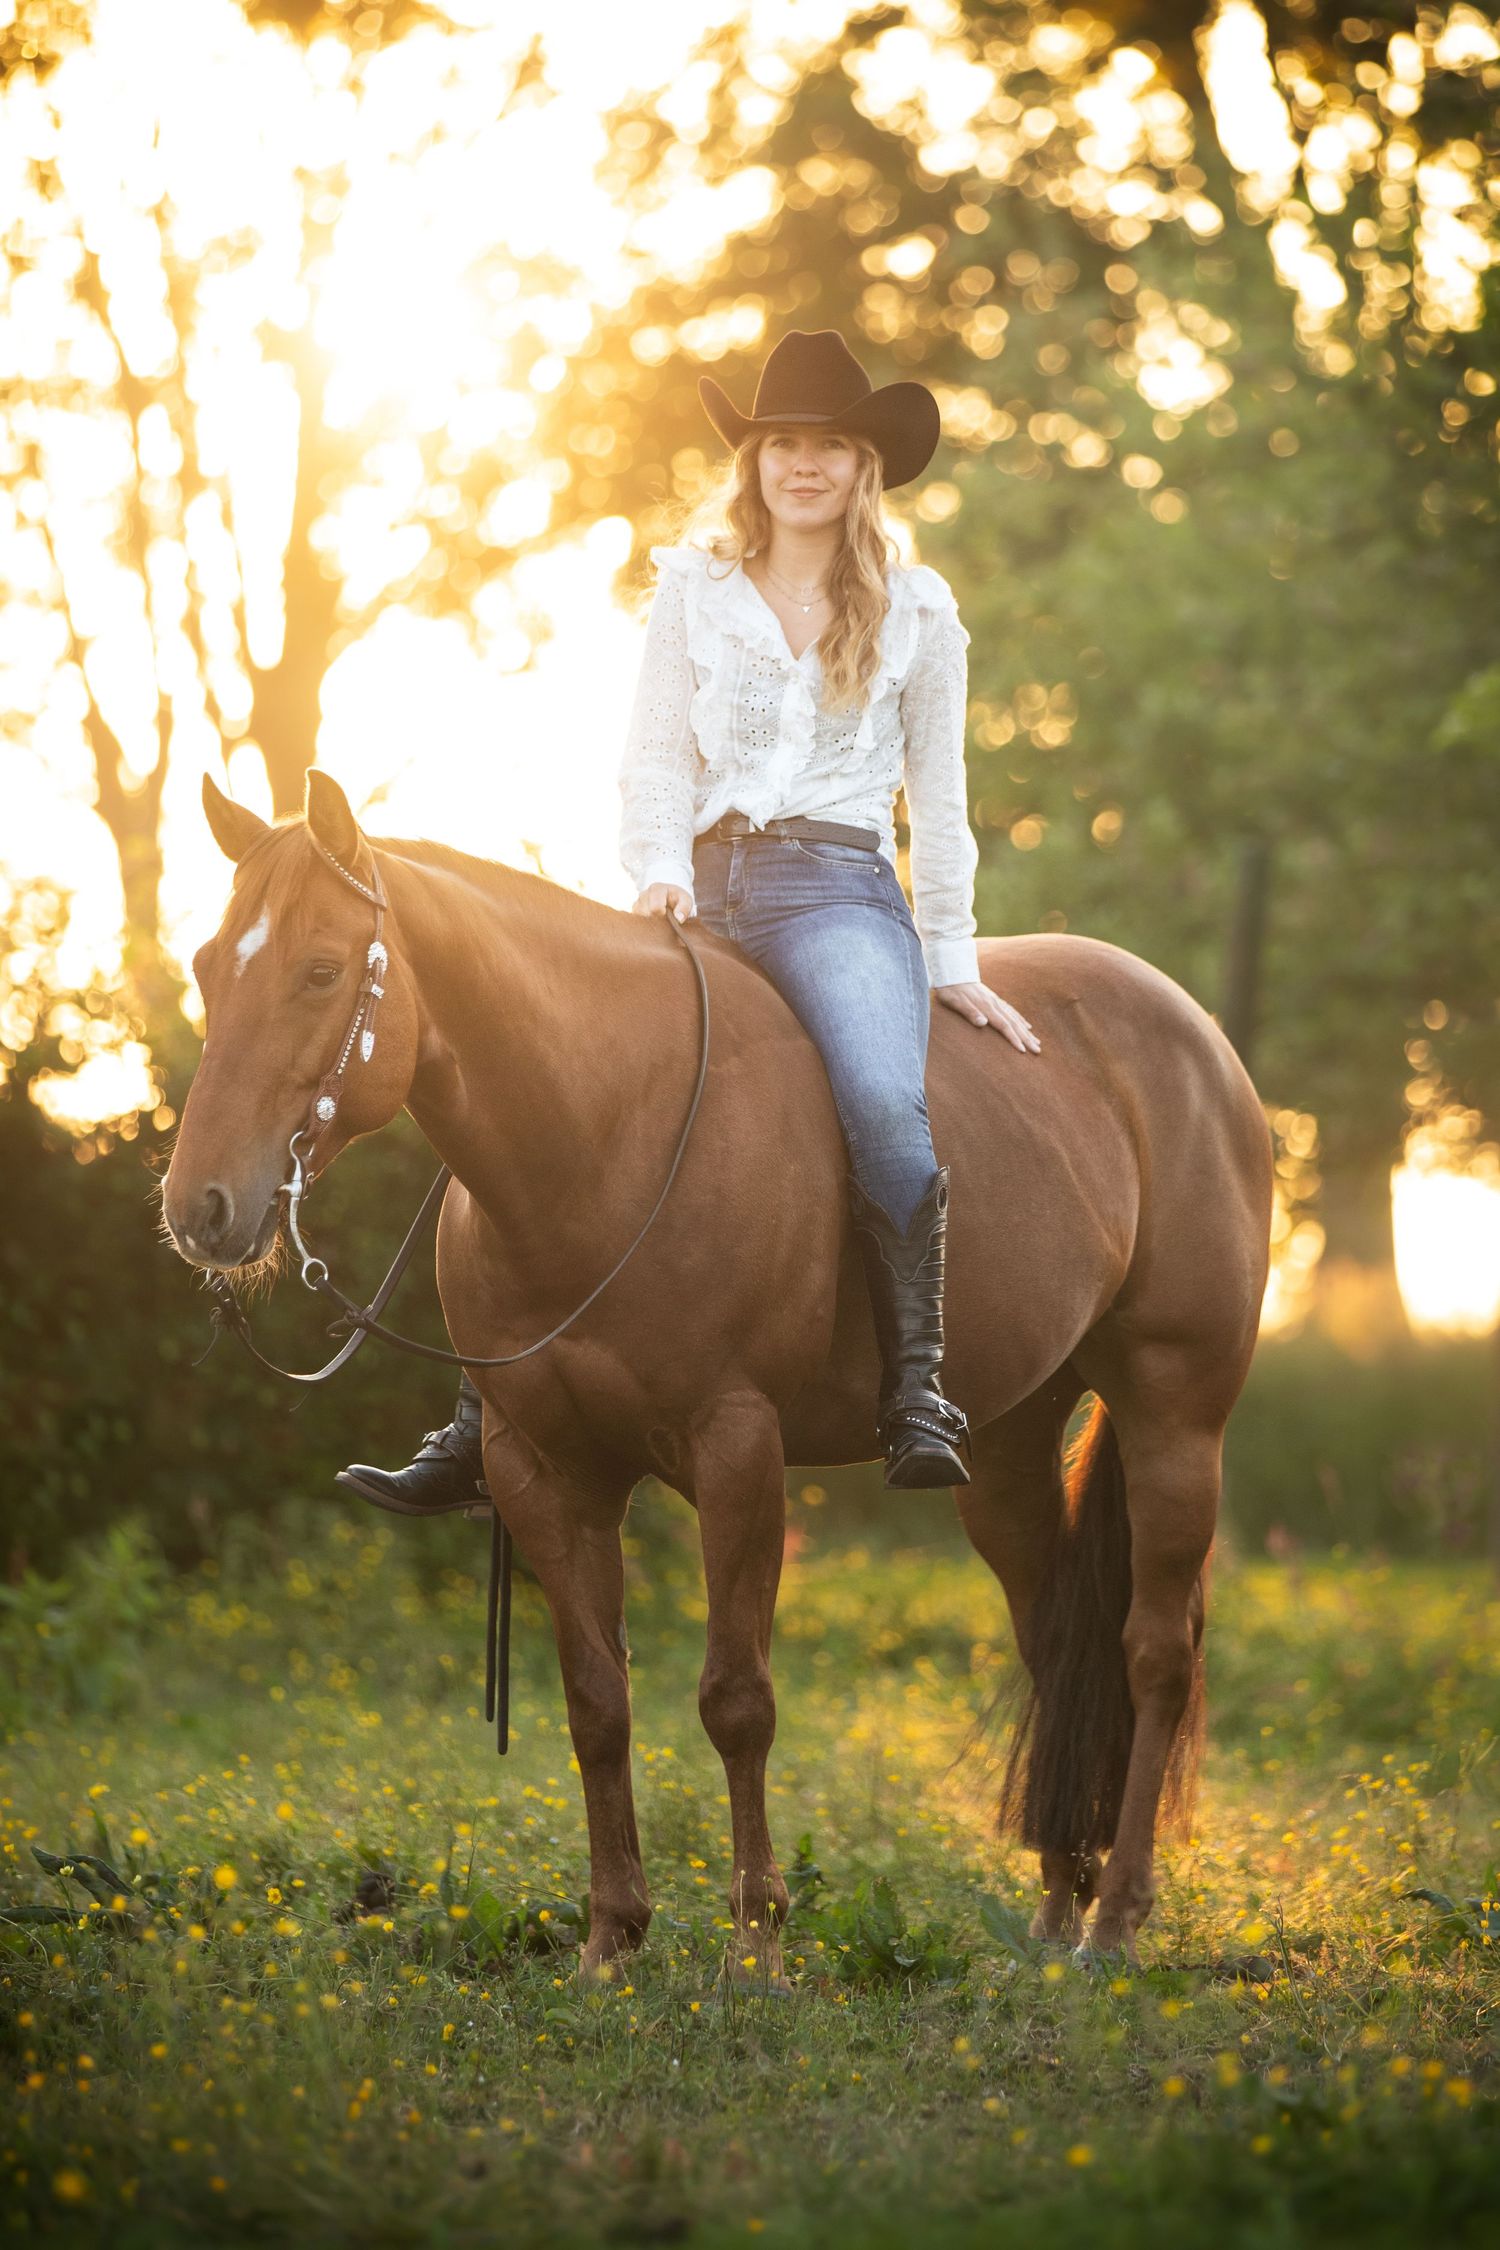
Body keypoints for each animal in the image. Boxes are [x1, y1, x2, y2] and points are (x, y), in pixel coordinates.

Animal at [164, 768, 1272, 1983]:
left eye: (321, 970)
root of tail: (1198, 1039)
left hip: (1176, 1413)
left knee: (1153, 1654)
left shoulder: (737, 1448)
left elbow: (736, 1700)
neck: (607, 1132)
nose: (200, 1207)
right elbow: (597, 1704)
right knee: (1057, 1644)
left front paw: (756, 1949)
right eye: (207, 966)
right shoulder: (542, 1471)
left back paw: (1116, 1919)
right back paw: (1058, 1908)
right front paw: (611, 1942)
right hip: (1012, 1453)